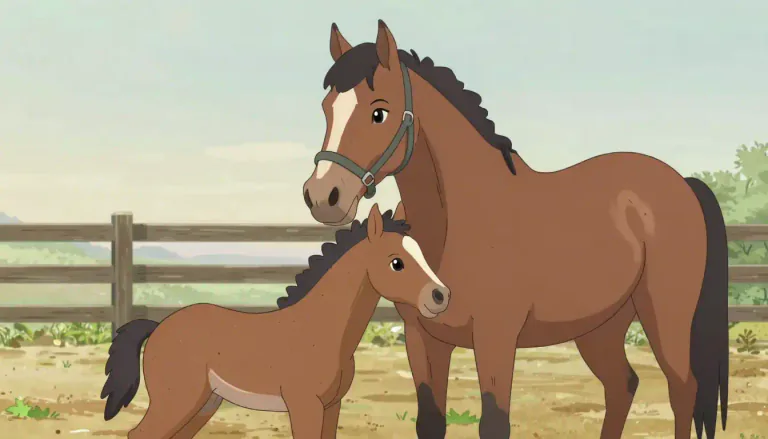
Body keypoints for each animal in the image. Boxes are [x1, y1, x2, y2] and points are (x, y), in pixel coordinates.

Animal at [100, 203, 451, 439]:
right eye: (396, 263)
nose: (440, 296)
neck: (322, 331)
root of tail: (159, 326)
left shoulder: (331, 406)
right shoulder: (304, 405)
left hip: (205, 404)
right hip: (177, 401)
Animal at [301, 20, 729, 439]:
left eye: (379, 112)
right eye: (326, 108)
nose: (323, 195)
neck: (457, 223)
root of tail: (682, 182)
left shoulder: (496, 338)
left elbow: (494, 423)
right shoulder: (422, 339)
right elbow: (431, 422)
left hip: (666, 318)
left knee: (681, 390)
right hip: (601, 327)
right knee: (621, 386)